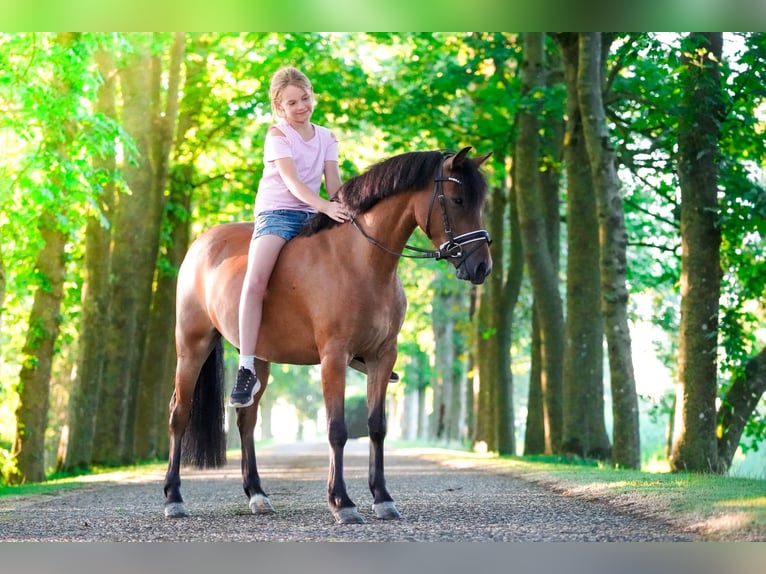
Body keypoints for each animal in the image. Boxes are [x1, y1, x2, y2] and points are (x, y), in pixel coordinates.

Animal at [163, 146, 493, 524]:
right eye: (456, 199)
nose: (482, 267)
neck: (361, 261)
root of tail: (202, 244)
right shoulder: (334, 357)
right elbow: (337, 429)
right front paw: (343, 502)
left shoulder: (383, 357)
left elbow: (376, 426)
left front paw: (382, 498)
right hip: (192, 346)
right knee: (179, 413)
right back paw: (174, 498)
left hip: (258, 358)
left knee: (247, 418)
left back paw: (257, 495)